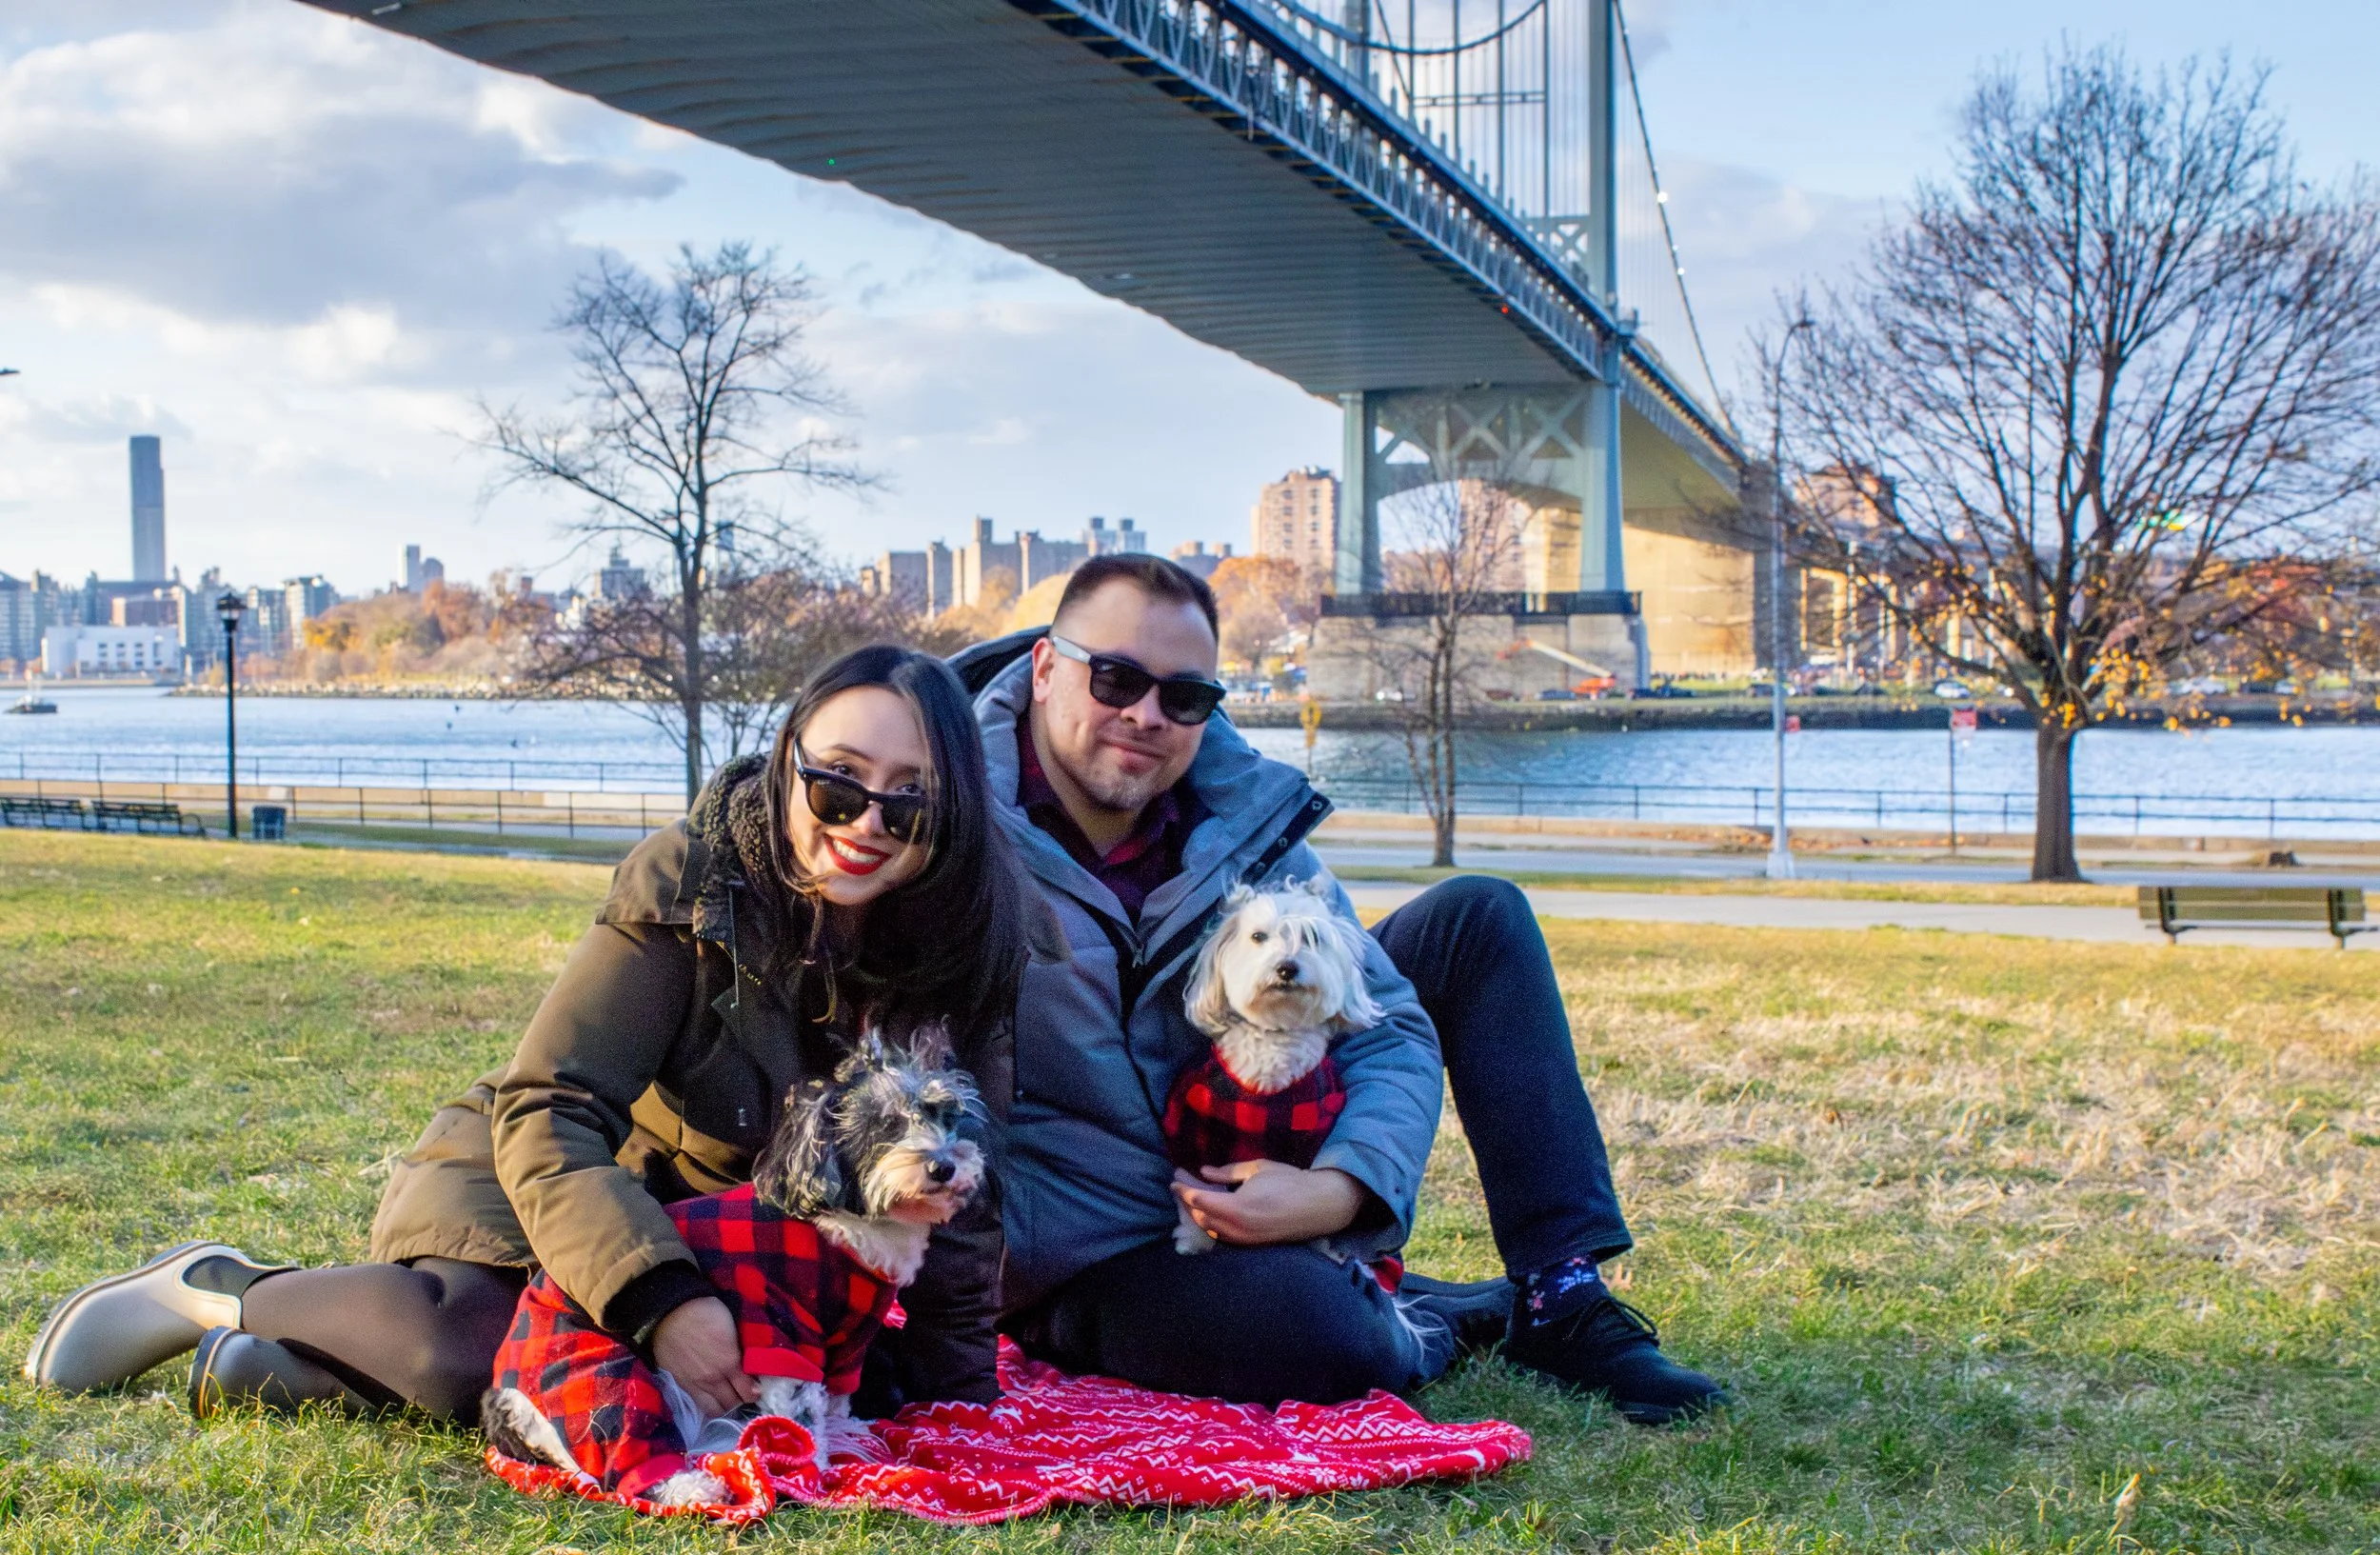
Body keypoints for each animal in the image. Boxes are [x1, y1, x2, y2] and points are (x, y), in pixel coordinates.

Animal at [480, 1030, 984, 1507]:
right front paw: (811, 1472)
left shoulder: (849, 1345)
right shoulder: (781, 1329)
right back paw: (691, 1487)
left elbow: (835, 1402)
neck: (847, 1222)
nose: (943, 1165)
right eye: (886, 1125)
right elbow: (801, 1416)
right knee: (622, 1449)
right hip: (594, 1373)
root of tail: (504, 1402)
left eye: (945, 1116)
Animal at [1165, 878, 1383, 1255]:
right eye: (1258, 936)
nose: (1287, 967)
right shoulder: (1194, 1128)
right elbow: (1198, 1185)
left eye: (1312, 937)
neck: (1275, 1036)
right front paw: (1194, 1239)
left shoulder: (1310, 1138)